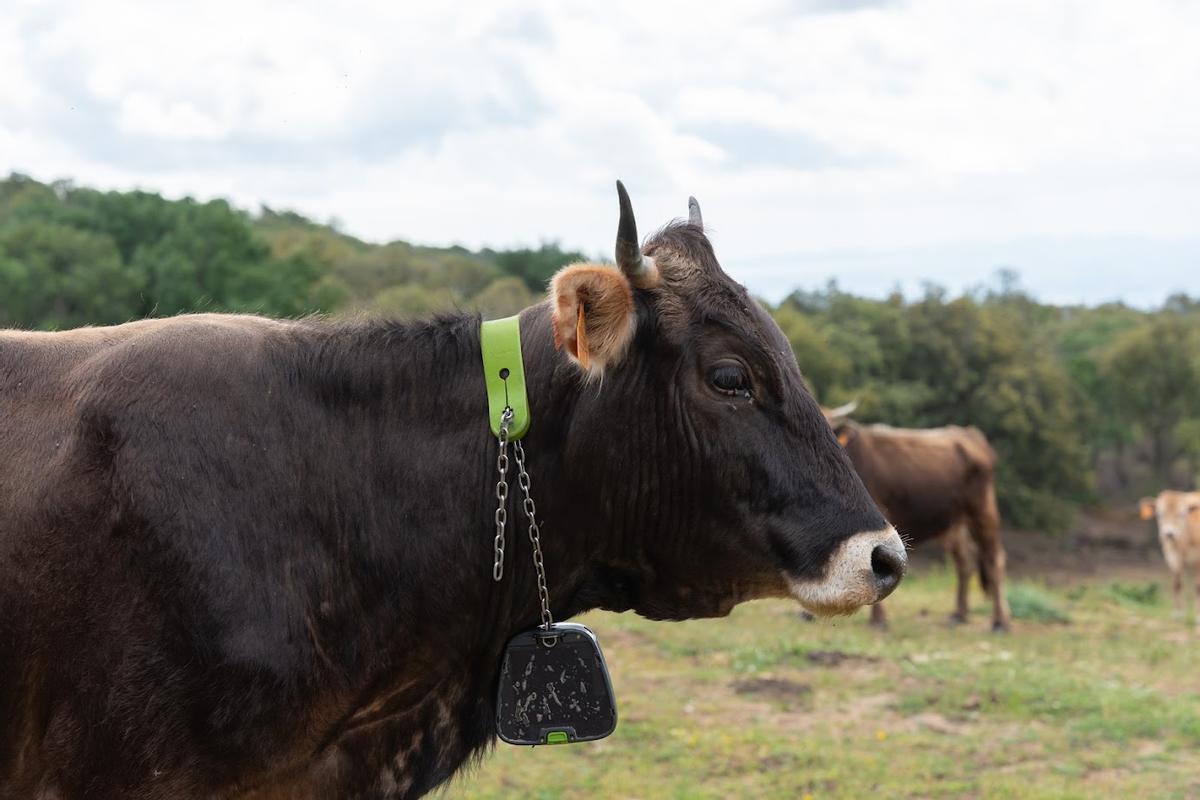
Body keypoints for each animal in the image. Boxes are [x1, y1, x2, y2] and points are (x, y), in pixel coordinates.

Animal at [823, 404, 1011, 631]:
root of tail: (968, 432)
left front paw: (879, 619)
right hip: (955, 521)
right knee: (965, 560)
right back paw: (959, 614)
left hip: (982, 508)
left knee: (994, 559)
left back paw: (1000, 622)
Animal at [1140, 491, 1200, 624]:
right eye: (1159, 514)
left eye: (1182, 514)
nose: (1169, 534)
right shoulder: (1173, 558)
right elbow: (1177, 584)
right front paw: (1178, 614)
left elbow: (1197, 587)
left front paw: (1198, 617)